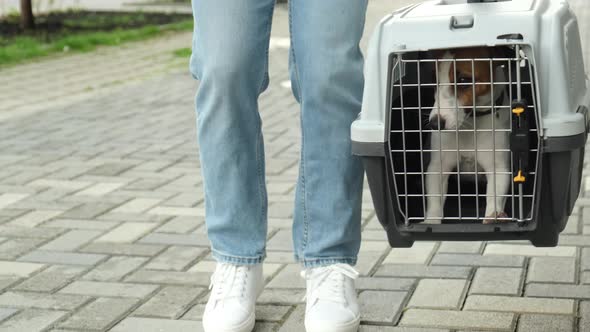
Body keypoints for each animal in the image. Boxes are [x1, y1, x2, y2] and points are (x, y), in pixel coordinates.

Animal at [354, 0, 588, 248]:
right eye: (434, 80)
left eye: (465, 80)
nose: (435, 123)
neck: (470, 124)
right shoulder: (438, 166)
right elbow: (434, 200)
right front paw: (430, 222)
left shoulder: (499, 168)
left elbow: (493, 197)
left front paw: (494, 218)